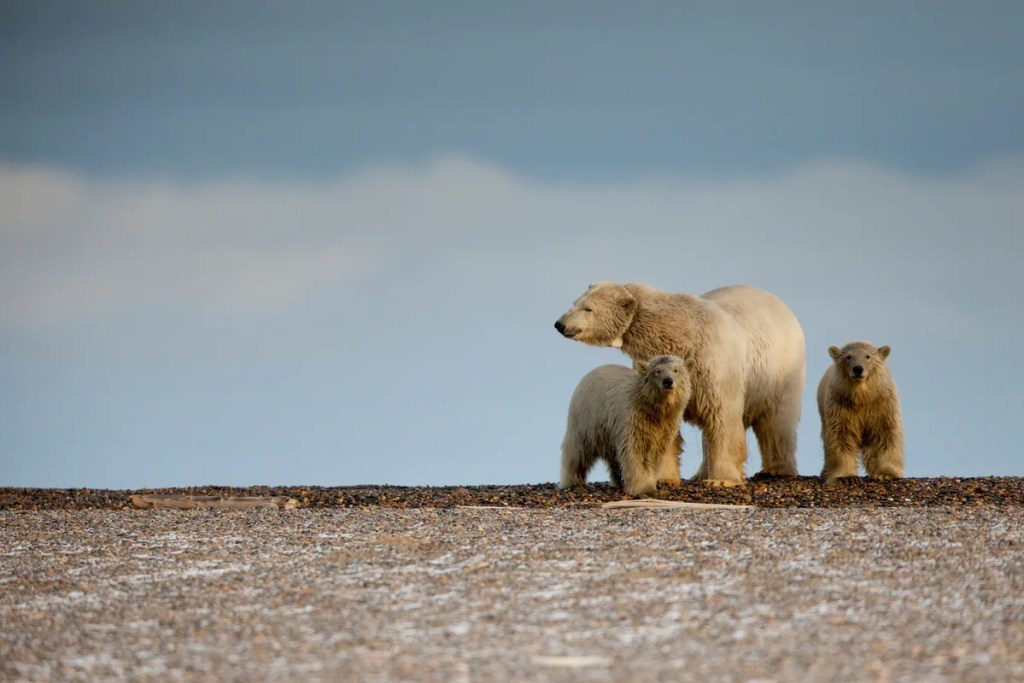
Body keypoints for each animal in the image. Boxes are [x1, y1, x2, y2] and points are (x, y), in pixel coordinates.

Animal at [557, 282, 802, 485]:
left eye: (587, 308)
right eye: (575, 302)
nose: (559, 324)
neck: (678, 332)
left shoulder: (714, 367)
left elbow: (723, 417)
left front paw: (722, 480)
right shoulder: (652, 368)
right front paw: (664, 477)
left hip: (780, 368)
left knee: (777, 420)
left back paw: (776, 469)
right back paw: (700, 473)